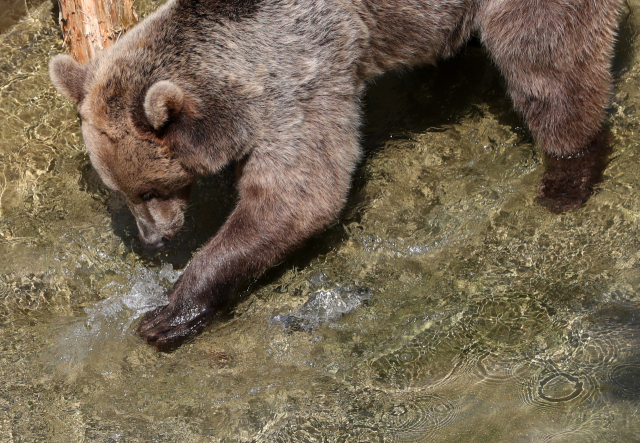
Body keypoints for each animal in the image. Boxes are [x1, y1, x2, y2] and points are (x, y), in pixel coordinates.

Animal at [51, 0, 624, 350]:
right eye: (121, 192)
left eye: (149, 189)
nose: (154, 239)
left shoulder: (301, 81)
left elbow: (298, 196)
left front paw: (167, 314)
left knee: (546, 60)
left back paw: (567, 176)